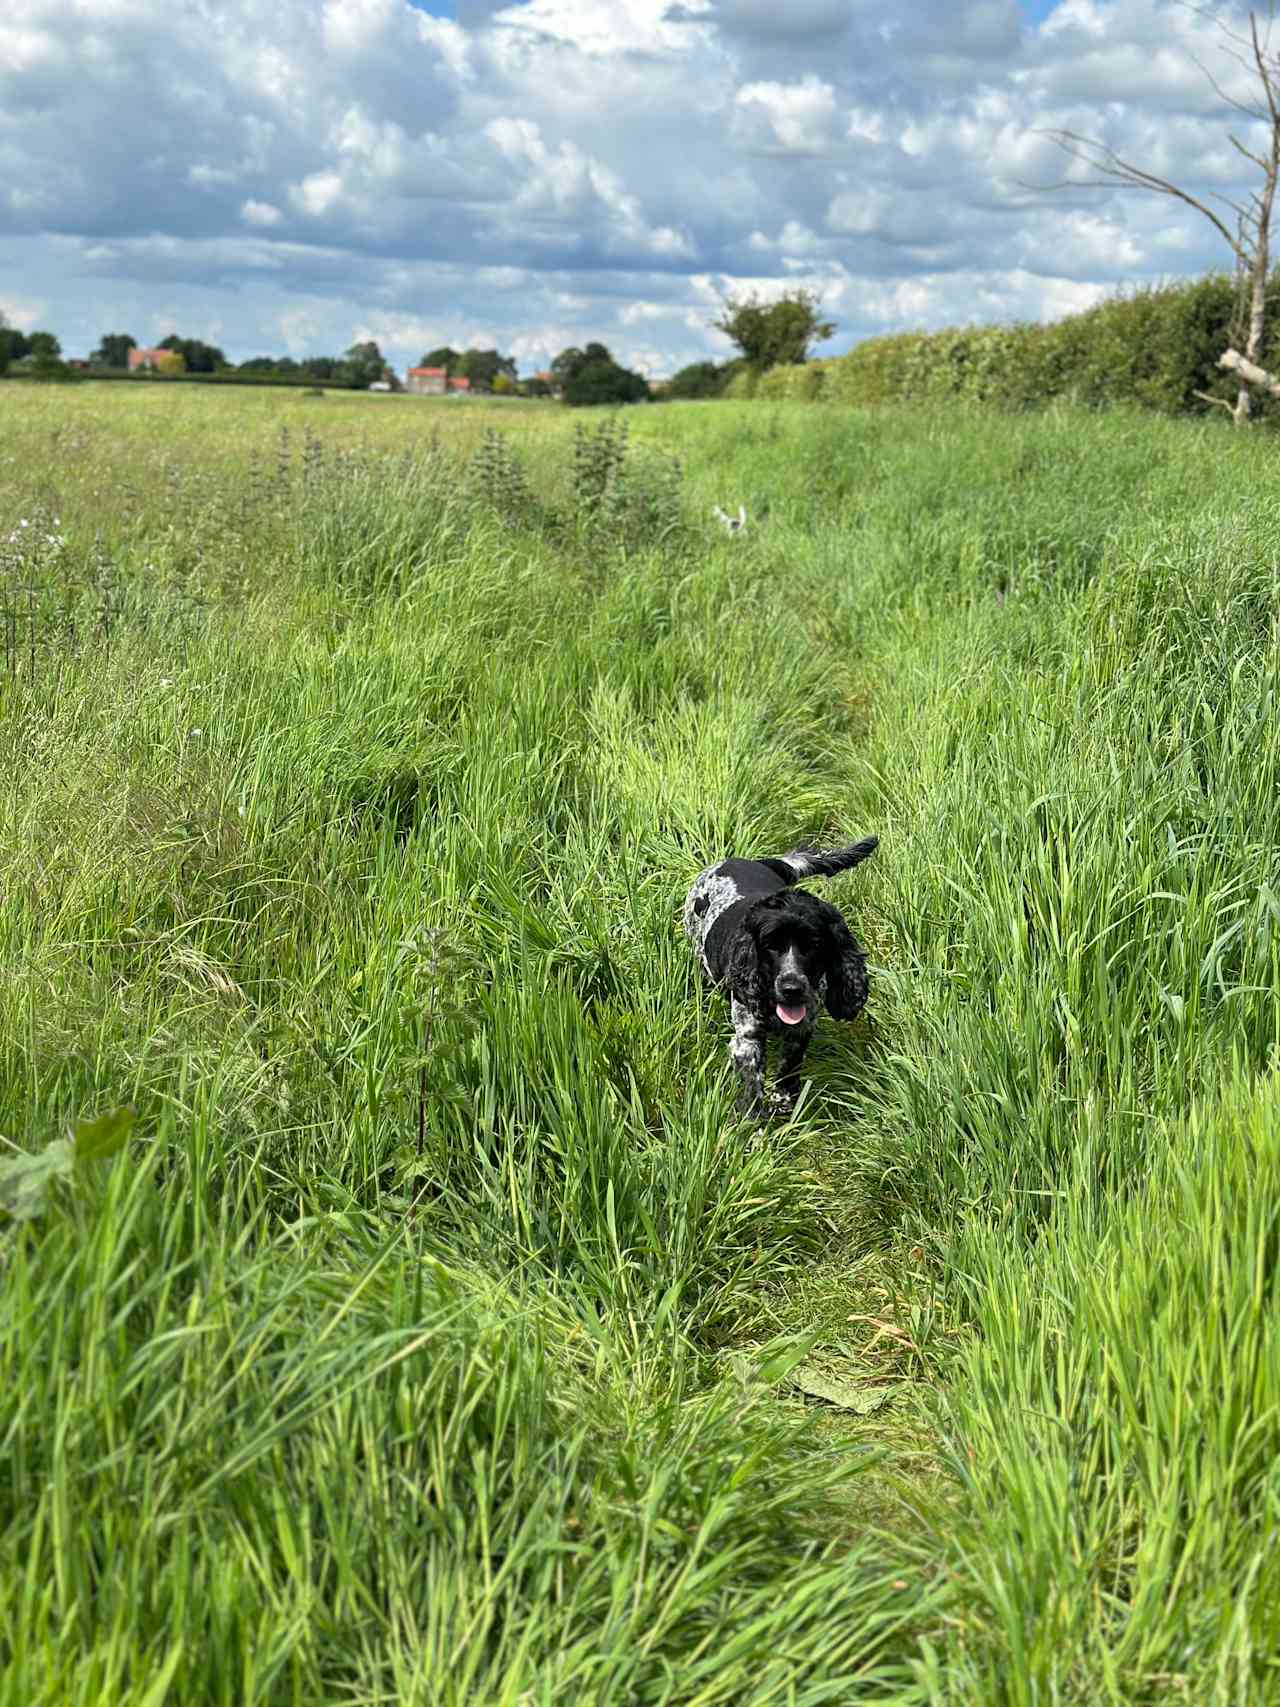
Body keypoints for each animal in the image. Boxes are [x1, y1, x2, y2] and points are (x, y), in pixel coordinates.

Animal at [686, 839, 880, 1119]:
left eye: (814, 945)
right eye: (770, 945)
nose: (792, 988)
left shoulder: (801, 1028)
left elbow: (790, 1067)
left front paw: (785, 1101)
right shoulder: (748, 1039)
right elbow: (752, 1091)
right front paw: (754, 1126)